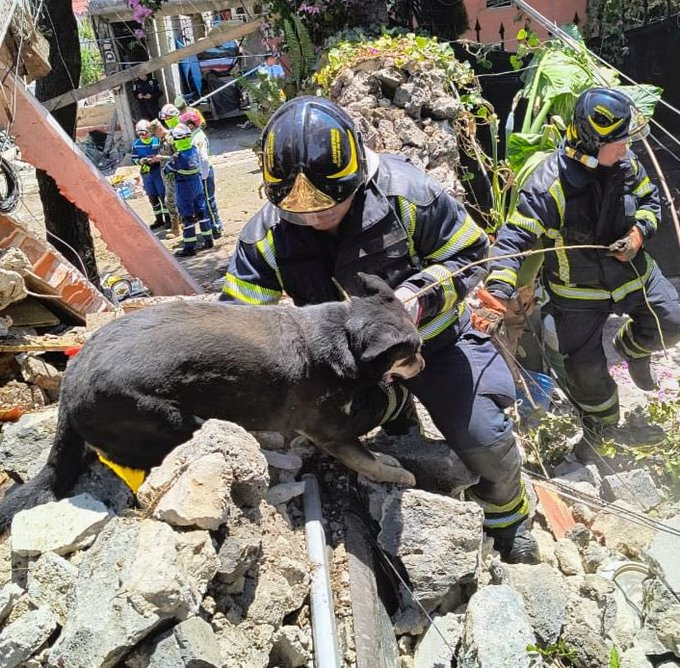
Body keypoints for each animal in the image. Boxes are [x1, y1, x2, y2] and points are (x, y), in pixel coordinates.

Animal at [0, 272, 424, 528]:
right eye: (412, 351)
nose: (422, 363)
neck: (346, 335)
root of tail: (69, 389)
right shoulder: (331, 432)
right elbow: (367, 460)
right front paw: (396, 473)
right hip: (168, 419)